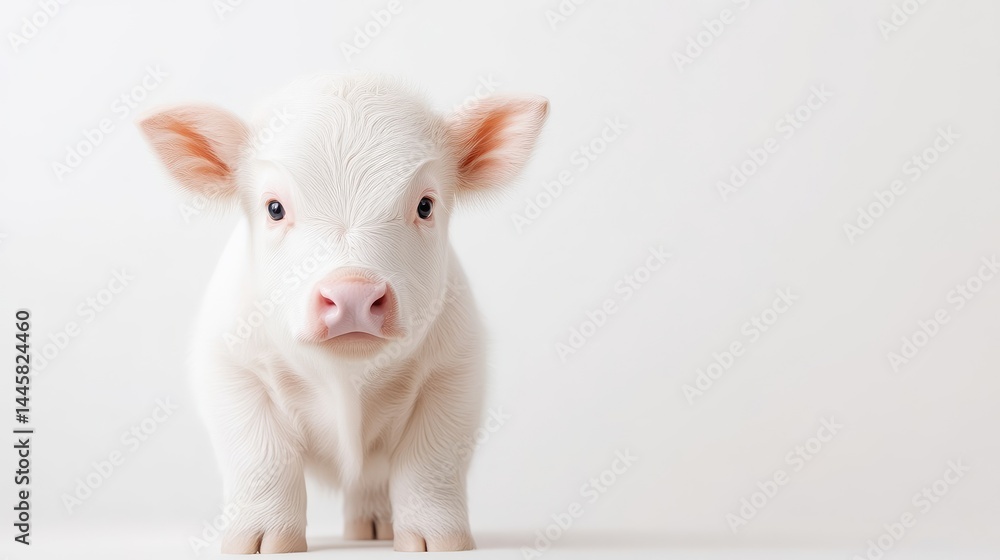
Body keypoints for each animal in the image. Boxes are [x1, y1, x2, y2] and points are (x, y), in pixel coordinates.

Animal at [137, 74, 548, 553]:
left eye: (425, 205)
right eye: (274, 207)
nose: (352, 292)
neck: (346, 381)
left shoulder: (456, 371)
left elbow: (429, 461)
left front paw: (440, 543)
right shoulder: (228, 365)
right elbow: (262, 458)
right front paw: (259, 545)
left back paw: (373, 530)